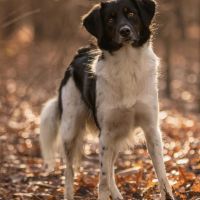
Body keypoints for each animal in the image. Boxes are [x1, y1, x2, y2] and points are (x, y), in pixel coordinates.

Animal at [40, 0, 175, 199]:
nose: (125, 31)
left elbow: (162, 175)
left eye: (131, 13)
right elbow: (102, 179)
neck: (127, 63)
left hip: (117, 135)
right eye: (110, 19)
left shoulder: (151, 129)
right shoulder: (106, 133)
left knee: (110, 169)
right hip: (71, 131)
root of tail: (80, 53)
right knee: (70, 171)